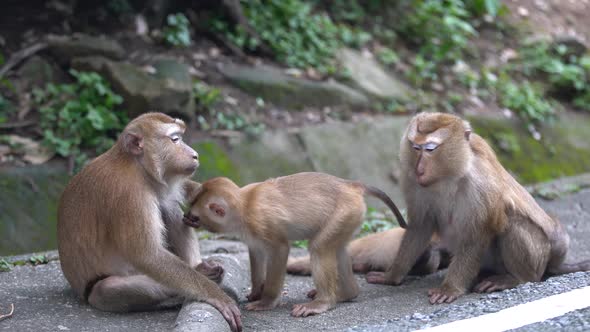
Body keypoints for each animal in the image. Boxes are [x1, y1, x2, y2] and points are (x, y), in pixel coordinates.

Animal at [59, 112, 244, 332]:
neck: (135, 165)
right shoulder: (129, 195)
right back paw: (190, 286)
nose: (195, 154)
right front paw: (215, 295)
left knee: (167, 205)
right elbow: (147, 254)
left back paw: (198, 267)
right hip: (98, 288)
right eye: (175, 139)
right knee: (105, 288)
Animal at [185, 172, 408, 318]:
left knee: (319, 247)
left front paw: (267, 300)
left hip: (345, 211)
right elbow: (256, 252)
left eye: (195, 218)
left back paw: (324, 302)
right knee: (338, 249)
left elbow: (280, 250)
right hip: (351, 216)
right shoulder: (252, 233)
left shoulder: (261, 222)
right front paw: (256, 291)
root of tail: (351, 185)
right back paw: (348, 293)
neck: (243, 204)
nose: (186, 218)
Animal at [366, 111, 590, 304]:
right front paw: (392, 276)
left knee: (512, 221)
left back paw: (516, 277)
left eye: (430, 149)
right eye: (415, 147)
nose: (419, 168)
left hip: (538, 255)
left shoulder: (480, 184)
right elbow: (420, 227)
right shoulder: (413, 182)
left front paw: (450, 289)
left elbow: (477, 232)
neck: (447, 177)